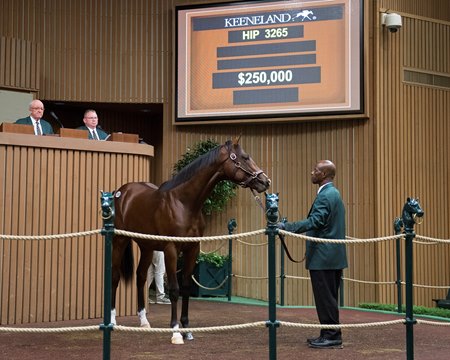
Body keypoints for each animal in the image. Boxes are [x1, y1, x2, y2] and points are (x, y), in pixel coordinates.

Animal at [110, 139, 270, 344]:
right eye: (245, 157)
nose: (265, 181)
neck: (184, 203)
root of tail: (121, 192)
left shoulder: (192, 248)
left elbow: (185, 288)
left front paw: (187, 329)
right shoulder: (171, 250)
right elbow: (174, 289)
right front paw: (176, 332)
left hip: (146, 246)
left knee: (140, 277)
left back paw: (144, 322)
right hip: (119, 241)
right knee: (115, 276)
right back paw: (112, 321)